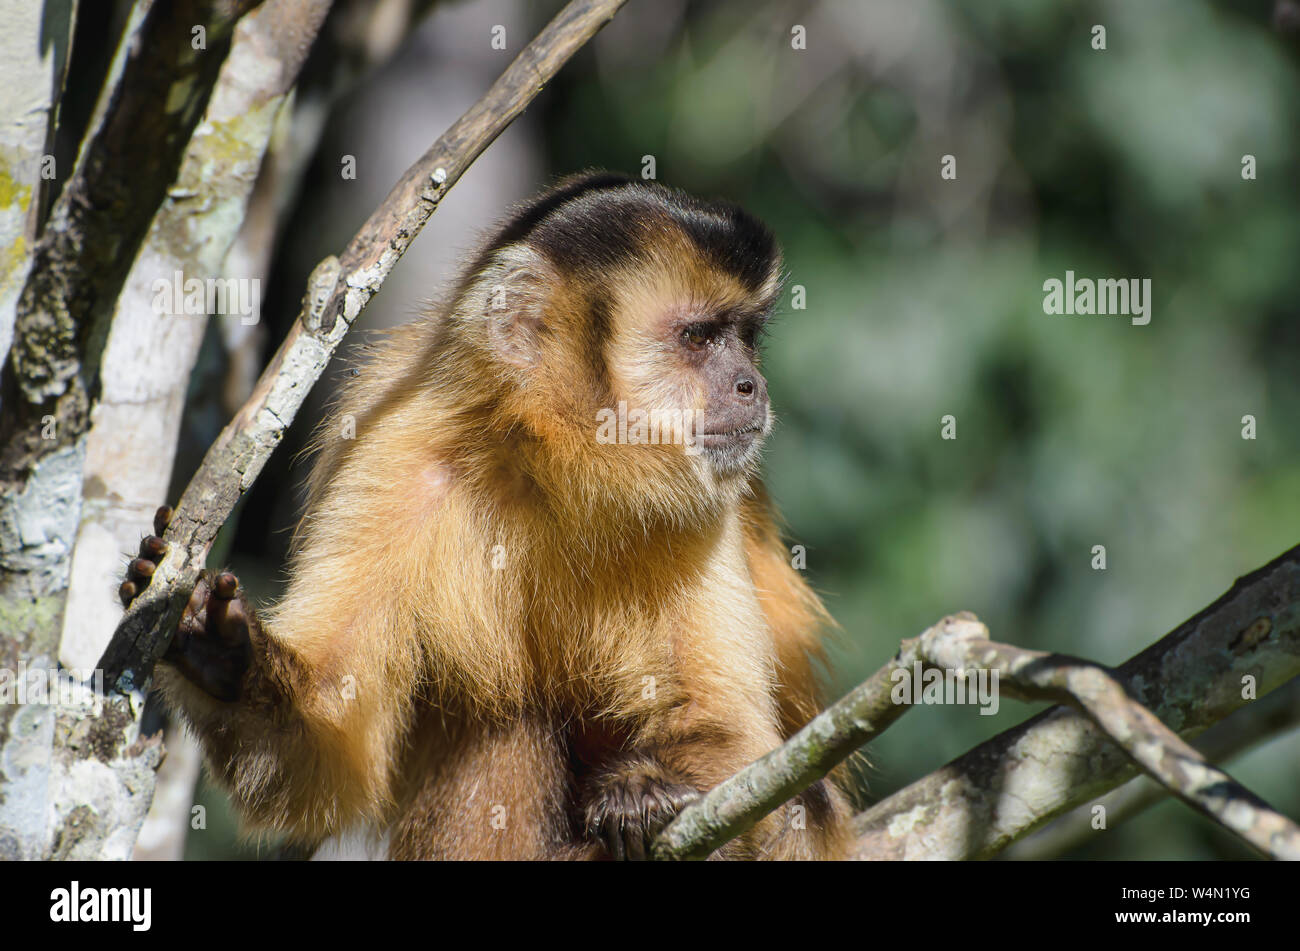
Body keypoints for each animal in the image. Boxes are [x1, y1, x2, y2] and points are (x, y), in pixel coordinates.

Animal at [122, 172, 852, 862]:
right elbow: (329, 748)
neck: (559, 464)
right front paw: (221, 653)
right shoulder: (391, 457)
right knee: (499, 709)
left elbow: (731, 730)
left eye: (746, 339)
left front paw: (644, 794)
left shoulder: (704, 503)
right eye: (699, 338)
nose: (751, 385)